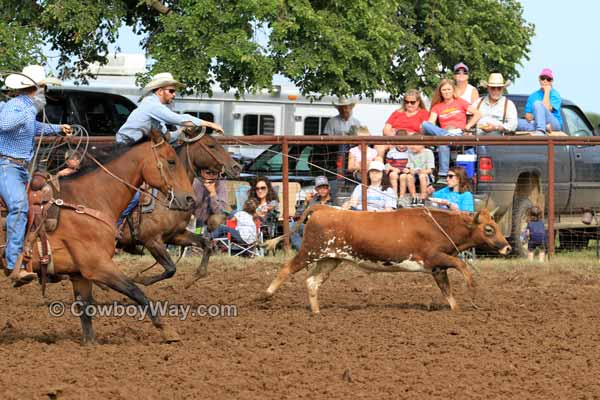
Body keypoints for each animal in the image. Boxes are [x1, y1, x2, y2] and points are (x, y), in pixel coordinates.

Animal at [9, 131, 195, 344]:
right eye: (171, 161)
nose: (190, 199)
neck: (88, 201)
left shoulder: (81, 274)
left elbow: (85, 309)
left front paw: (91, 344)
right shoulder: (101, 264)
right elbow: (136, 291)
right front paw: (168, 331)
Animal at [118, 127, 240, 284]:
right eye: (211, 145)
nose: (237, 167)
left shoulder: (176, 235)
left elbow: (207, 244)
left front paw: (198, 274)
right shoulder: (152, 240)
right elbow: (171, 268)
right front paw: (140, 279)